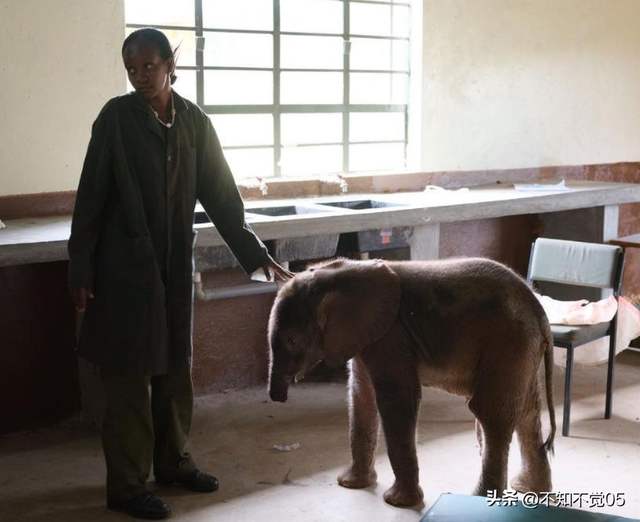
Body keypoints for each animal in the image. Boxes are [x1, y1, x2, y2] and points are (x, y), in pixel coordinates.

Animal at [266, 258, 556, 506]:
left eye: (293, 340)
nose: (278, 398)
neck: (335, 273)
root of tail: (541, 315)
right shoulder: (367, 335)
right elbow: (361, 395)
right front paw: (350, 485)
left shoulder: (392, 334)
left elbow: (396, 399)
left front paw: (397, 502)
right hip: (521, 348)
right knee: (527, 413)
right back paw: (529, 491)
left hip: (507, 341)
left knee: (490, 414)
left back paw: (481, 500)